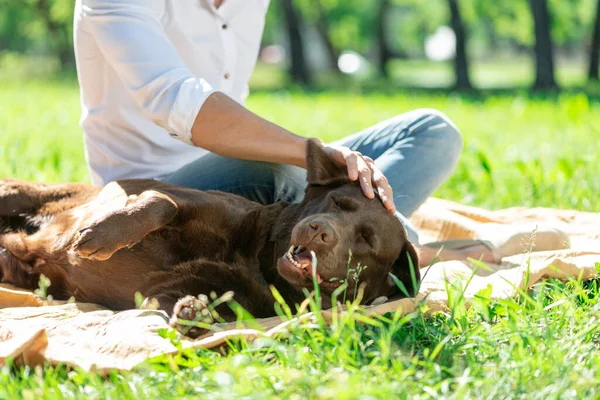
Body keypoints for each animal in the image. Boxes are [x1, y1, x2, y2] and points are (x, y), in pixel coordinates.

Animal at [0, 139, 420, 336]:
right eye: (336, 201)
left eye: (366, 240)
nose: (320, 231)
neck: (259, 262)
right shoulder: (185, 200)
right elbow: (161, 202)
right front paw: (102, 234)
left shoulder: (161, 291)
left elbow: (188, 305)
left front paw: (195, 312)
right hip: (22, 193)